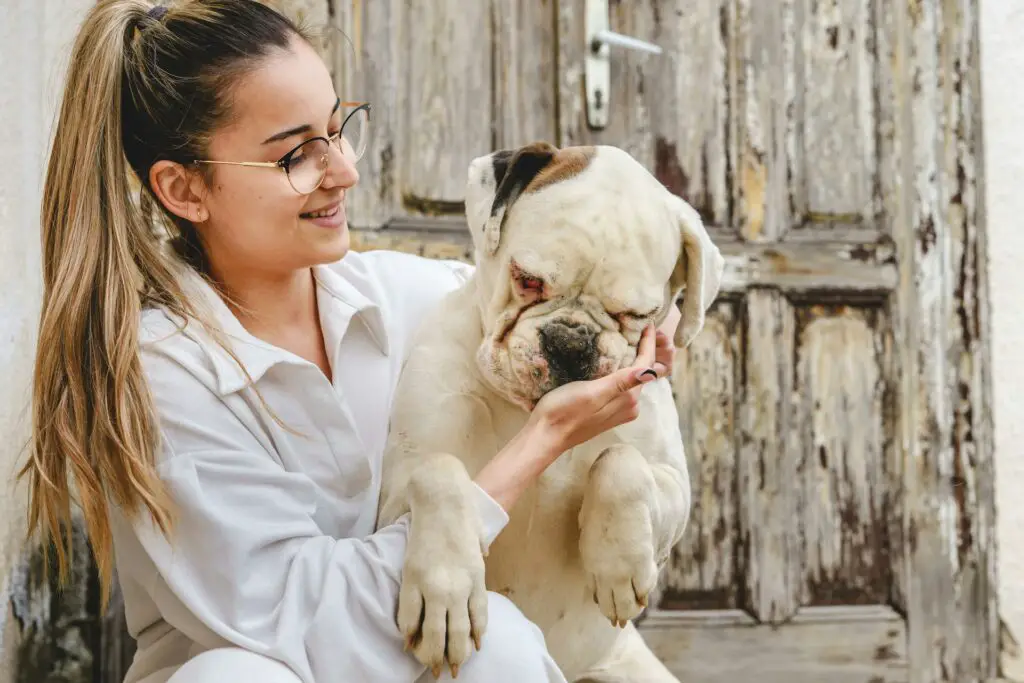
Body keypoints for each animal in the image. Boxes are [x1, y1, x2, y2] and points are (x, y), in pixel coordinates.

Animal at [378, 141, 729, 679]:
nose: (570, 342)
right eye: (527, 280)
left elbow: (620, 463)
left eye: (638, 315)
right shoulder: (396, 494)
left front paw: (618, 564)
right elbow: (438, 471)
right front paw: (446, 593)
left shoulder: (673, 490)